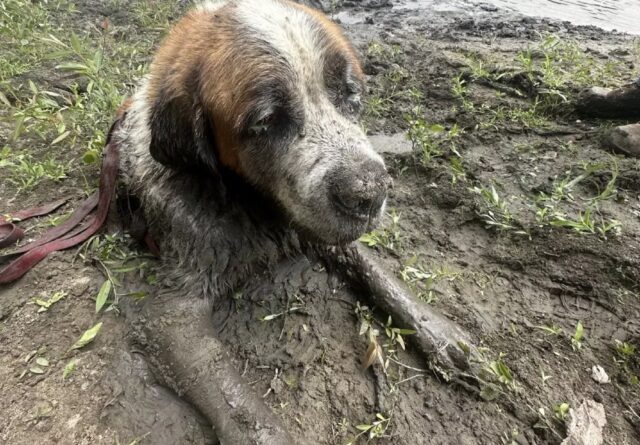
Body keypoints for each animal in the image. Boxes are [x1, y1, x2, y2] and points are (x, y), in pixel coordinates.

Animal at [111, 0, 470, 440]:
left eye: (350, 94)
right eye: (266, 121)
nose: (370, 192)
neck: (252, 205)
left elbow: (374, 269)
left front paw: (439, 332)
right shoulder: (173, 310)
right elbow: (238, 402)